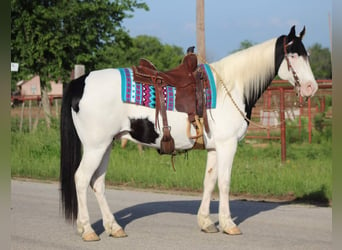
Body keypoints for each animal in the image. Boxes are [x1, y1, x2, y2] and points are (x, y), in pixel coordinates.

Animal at [59, 25, 318, 240]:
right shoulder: (228, 145)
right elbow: (224, 182)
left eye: (307, 55)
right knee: (81, 179)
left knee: (98, 183)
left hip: (107, 145)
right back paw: (88, 230)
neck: (231, 87)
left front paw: (206, 223)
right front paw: (228, 224)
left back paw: (113, 227)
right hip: (96, 146)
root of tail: (80, 82)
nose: (311, 88)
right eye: (293, 55)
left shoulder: (214, 148)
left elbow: (209, 181)